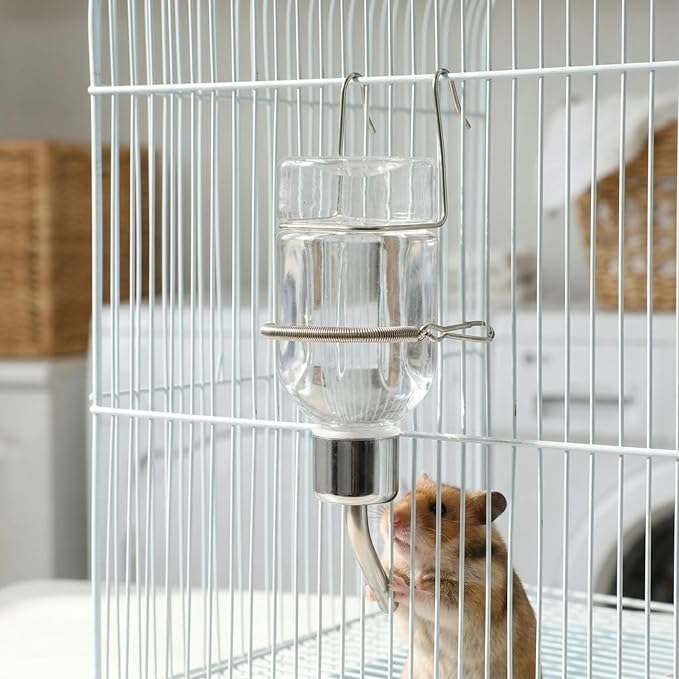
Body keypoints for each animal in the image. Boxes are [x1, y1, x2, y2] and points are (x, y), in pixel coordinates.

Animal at [370, 473, 538, 679]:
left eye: (439, 508)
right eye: (406, 495)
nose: (392, 519)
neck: (422, 566)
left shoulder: (467, 601)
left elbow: (427, 598)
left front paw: (398, 585)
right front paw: (373, 587)